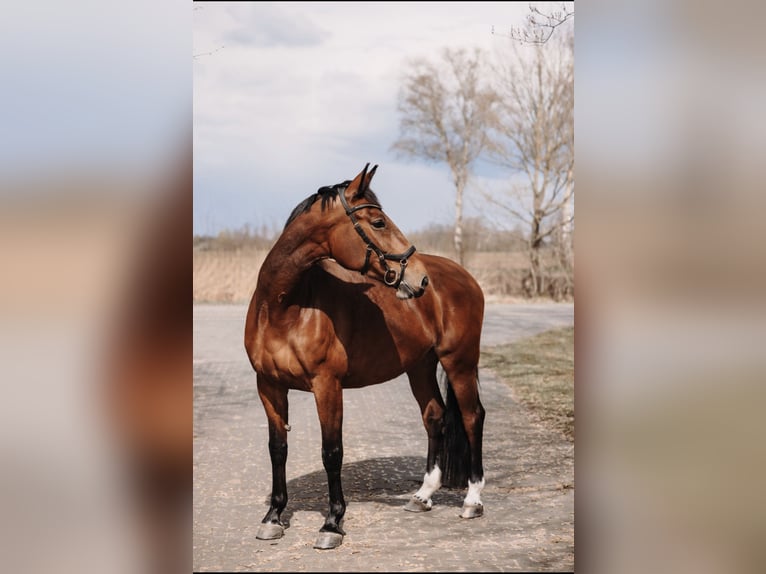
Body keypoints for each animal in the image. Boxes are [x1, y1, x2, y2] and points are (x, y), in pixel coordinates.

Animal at [244, 164, 486, 552]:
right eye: (378, 222)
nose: (420, 279)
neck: (284, 307)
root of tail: (463, 276)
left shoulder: (327, 386)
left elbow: (332, 452)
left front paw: (332, 524)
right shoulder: (268, 386)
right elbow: (277, 448)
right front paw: (273, 517)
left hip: (459, 362)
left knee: (471, 417)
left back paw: (473, 500)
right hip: (420, 366)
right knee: (435, 417)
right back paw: (423, 496)